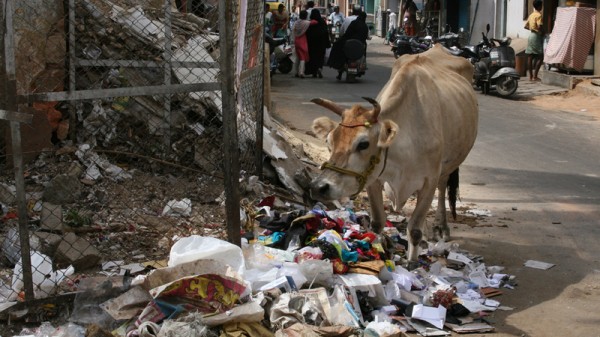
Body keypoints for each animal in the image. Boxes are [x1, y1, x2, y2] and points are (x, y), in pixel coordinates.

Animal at [310, 48, 478, 262]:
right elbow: (377, 223)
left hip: (448, 167)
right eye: (329, 142)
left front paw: (413, 263)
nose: (318, 187)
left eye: (363, 144)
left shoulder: (429, 181)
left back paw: (440, 227)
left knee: (442, 187)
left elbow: (414, 229)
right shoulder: (373, 180)